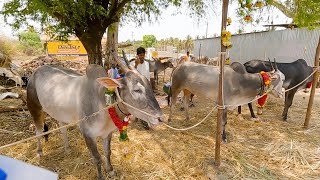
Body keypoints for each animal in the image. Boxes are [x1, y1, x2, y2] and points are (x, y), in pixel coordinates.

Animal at [26, 61, 165, 179]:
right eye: (137, 90)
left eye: (150, 87)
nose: (160, 118)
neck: (102, 102)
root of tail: (36, 71)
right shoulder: (87, 134)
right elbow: (97, 158)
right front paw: (101, 176)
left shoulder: (108, 133)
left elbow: (107, 152)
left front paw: (110, 170)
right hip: (35, 108)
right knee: (38, 131)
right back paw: (39, 152)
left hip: (60, 113)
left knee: (63, 130)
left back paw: (67, 148)